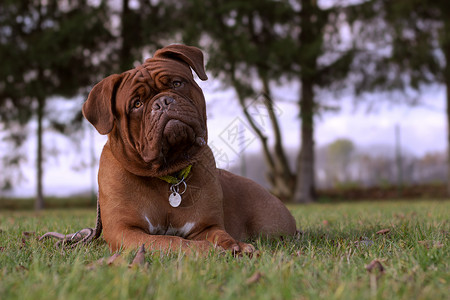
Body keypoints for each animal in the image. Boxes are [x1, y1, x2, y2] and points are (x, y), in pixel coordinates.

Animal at [43, 44, 296, 254]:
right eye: (136, 104)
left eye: (176, 83)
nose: (162, 102)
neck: (168, 175)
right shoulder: (125, 231)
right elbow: (169, 241)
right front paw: (205, 250)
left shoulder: (205, 226)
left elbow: (221, 235)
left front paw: (235, 245)